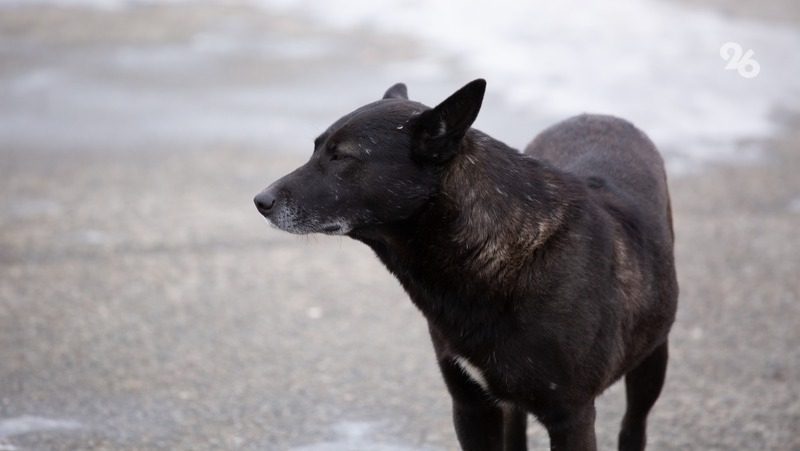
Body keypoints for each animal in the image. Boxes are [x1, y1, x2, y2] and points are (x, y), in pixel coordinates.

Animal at [255, 79, 676, 450]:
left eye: (341, 156)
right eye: (316, 149)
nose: (260, 201)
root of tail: (599, 115)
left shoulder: (571, 417)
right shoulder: (472, 407)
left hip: (652, 363)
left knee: (633, 426)